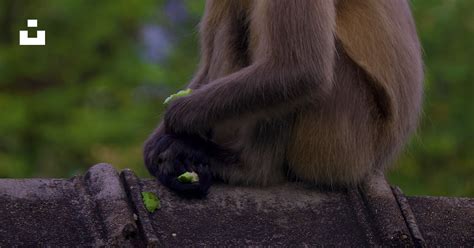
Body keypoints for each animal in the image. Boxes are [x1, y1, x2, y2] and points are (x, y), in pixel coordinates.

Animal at [143, 0, 424, 198]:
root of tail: (377, 161)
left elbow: (300, 71)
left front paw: (175, 120)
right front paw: (158, 143)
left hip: (345, 139)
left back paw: (251, 168)